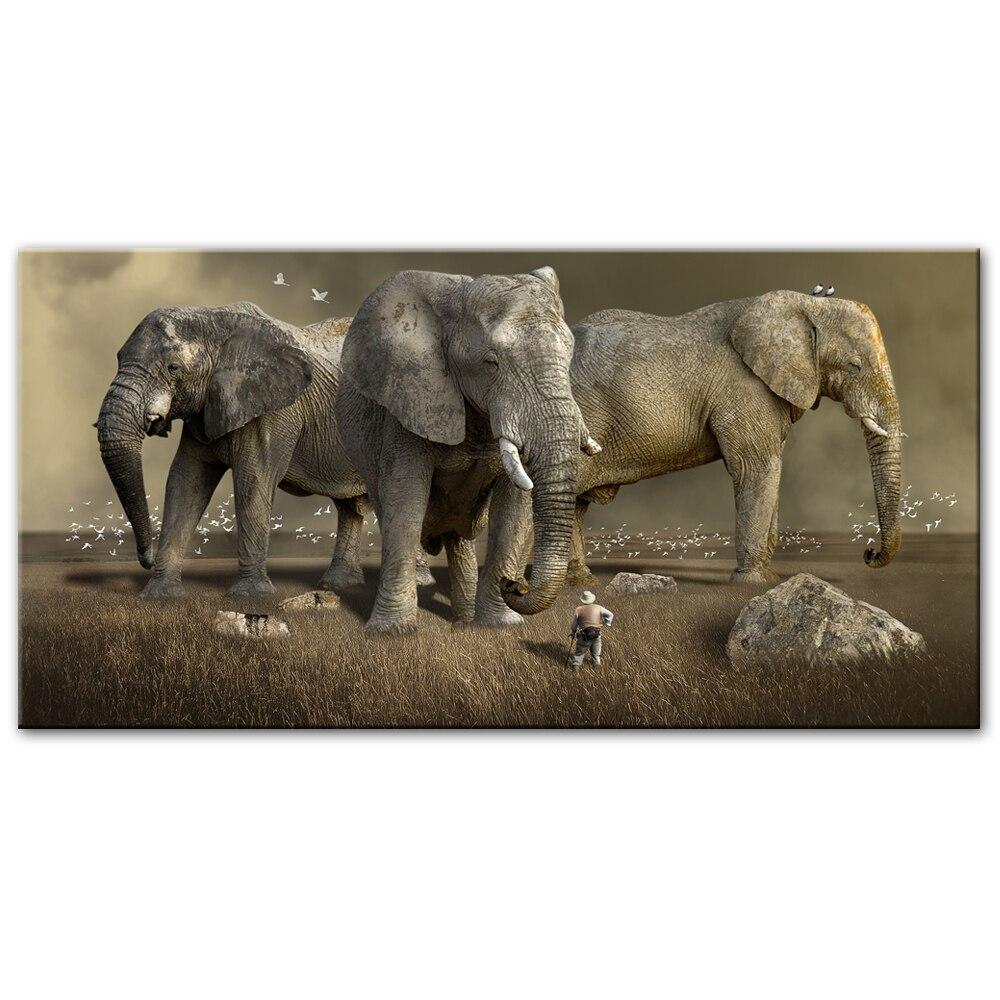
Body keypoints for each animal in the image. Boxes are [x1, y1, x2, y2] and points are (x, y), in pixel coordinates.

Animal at [96, 302, 392, 598]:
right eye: (119, 359)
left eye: (174, 368)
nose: (145, 559)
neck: (212, 318)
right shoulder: (205, 410)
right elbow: (185, 481)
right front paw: (160, 596)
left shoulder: (274, 409)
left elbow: (253, 480)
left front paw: (250, 596)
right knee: (349, 507)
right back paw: (338, 584)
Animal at [335, 267, 599, 633]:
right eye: (491, 362)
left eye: (569, 356)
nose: (515, 585)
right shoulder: (408, 400)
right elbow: (405, 499)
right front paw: (392, 633)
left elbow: (513, 509)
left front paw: (501, 626)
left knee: (459, 537)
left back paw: (464, 621)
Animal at [473, 289, 904, 624]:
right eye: (854, 365)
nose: (868, 553)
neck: (805, 305)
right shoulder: (744, 389)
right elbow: (755, 468)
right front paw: (753, 583)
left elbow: (769, 468)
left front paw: (769, 575)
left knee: (575, 501)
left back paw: (580, 583)